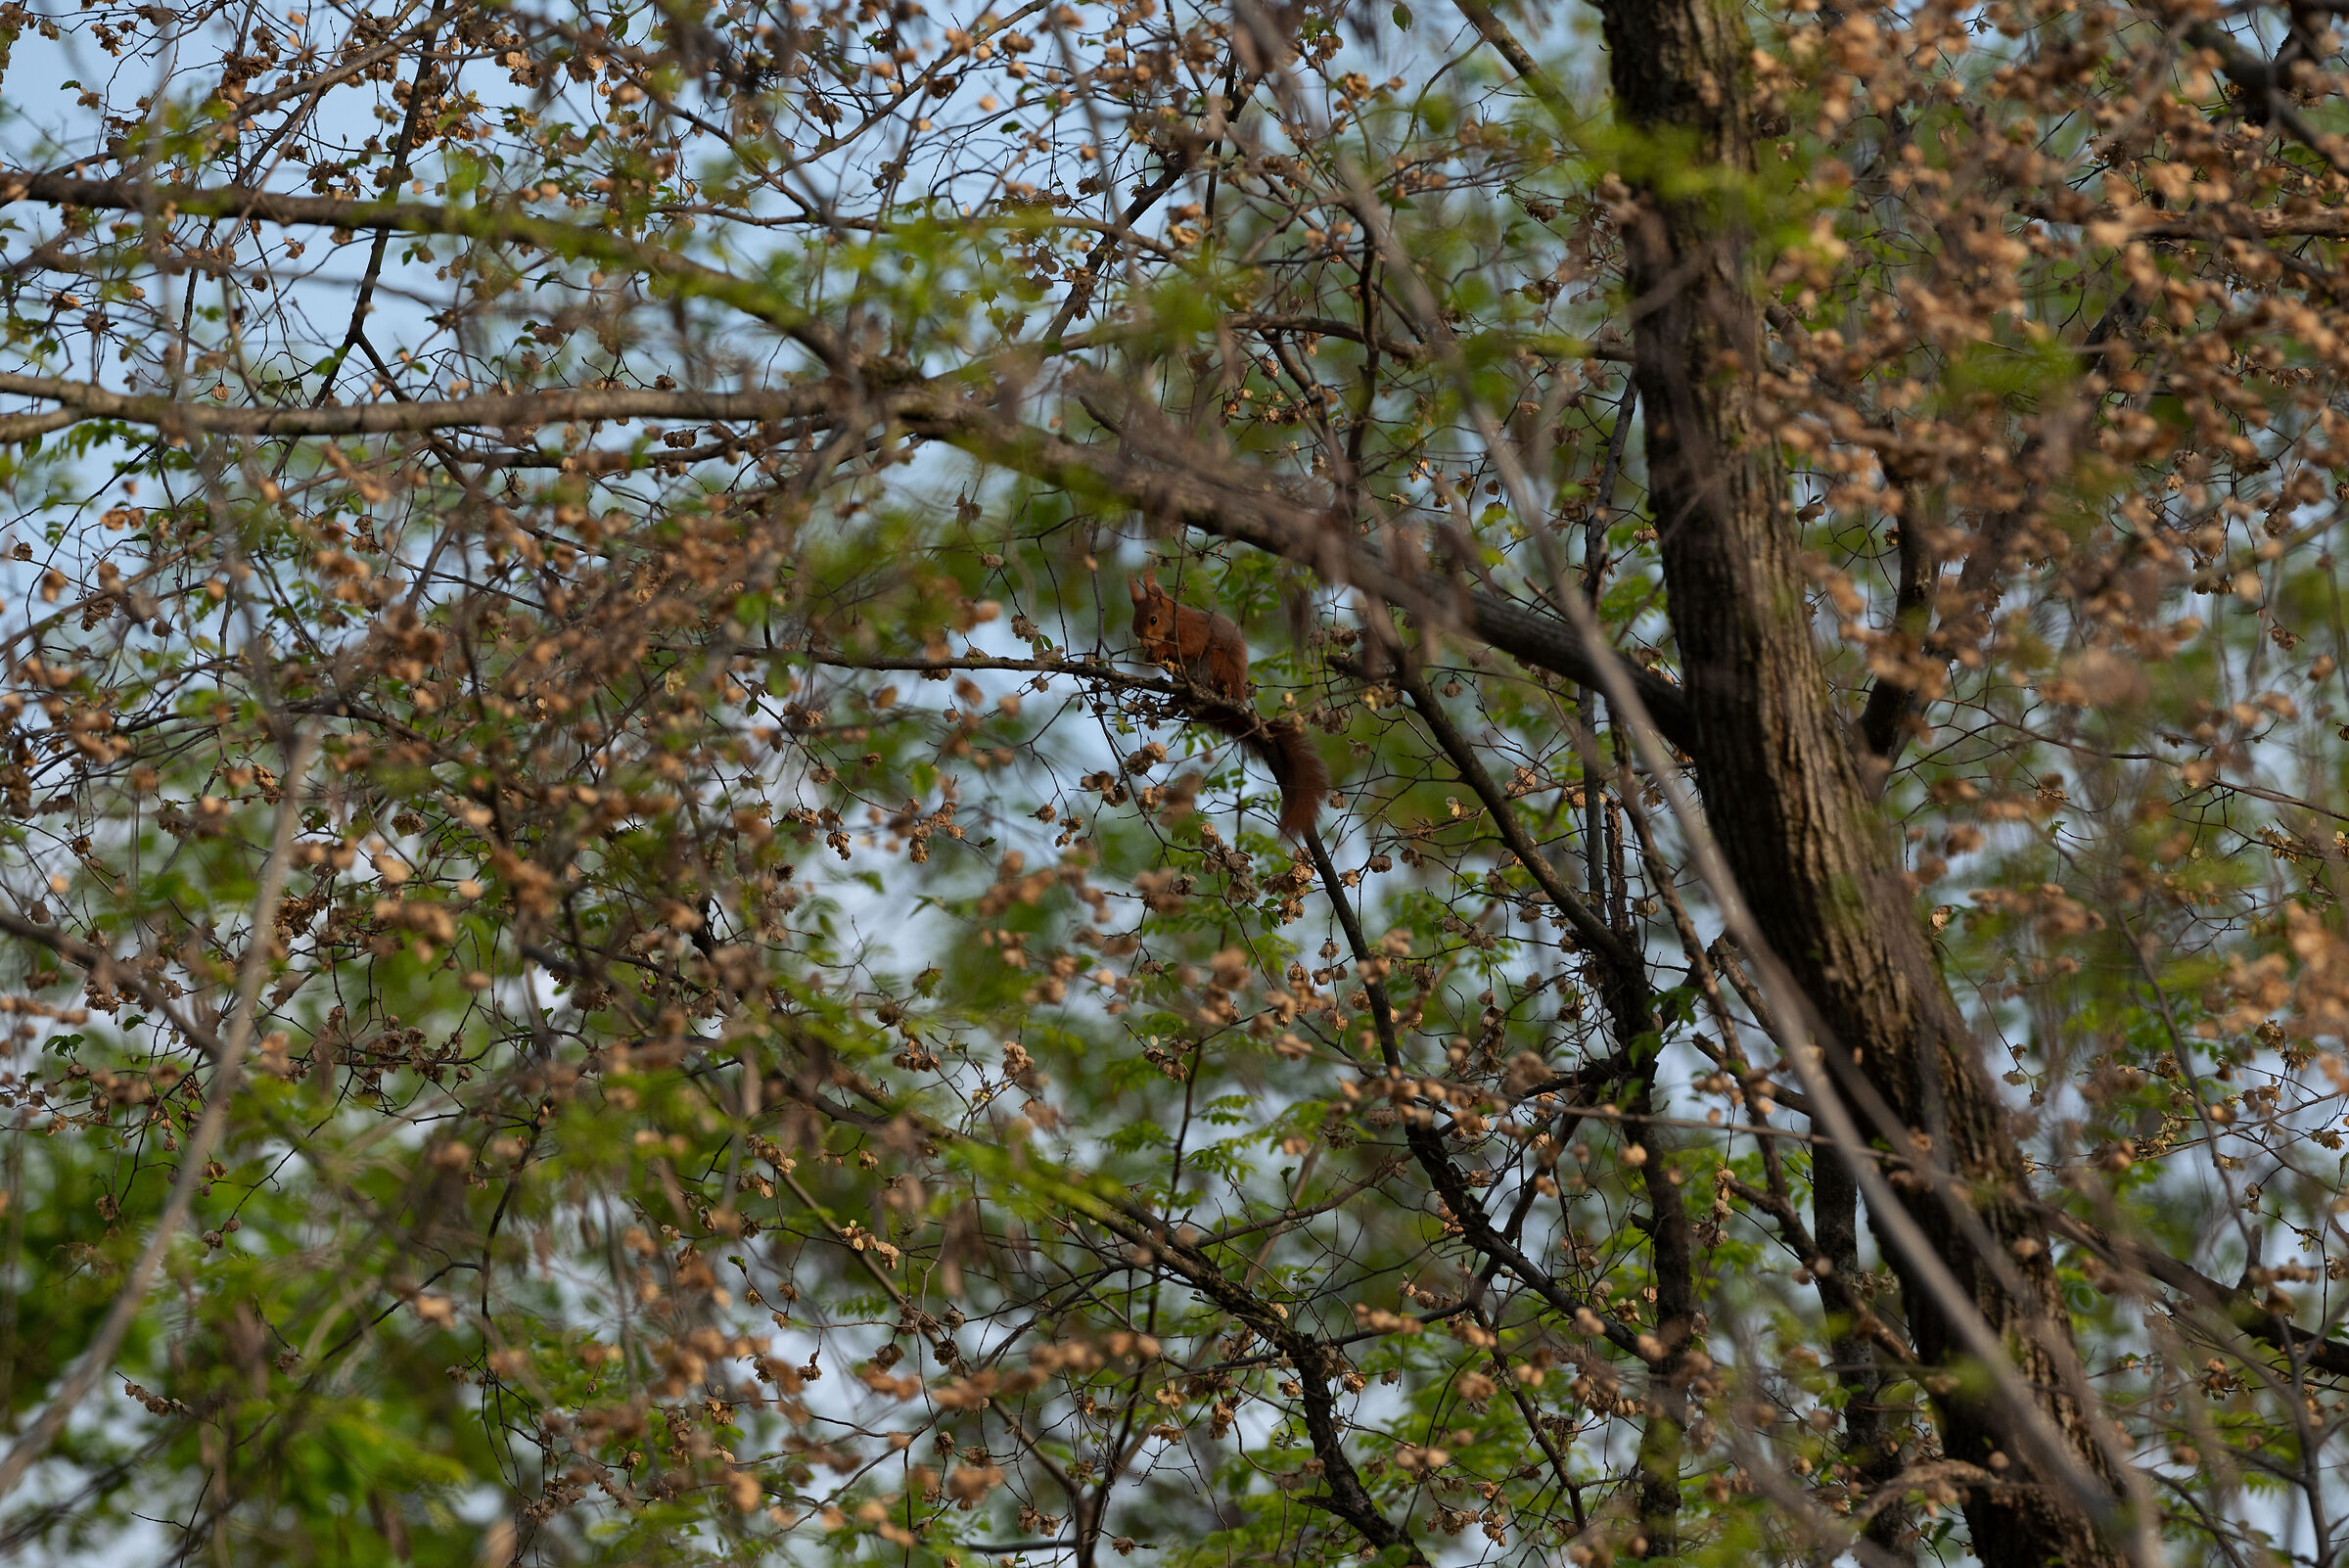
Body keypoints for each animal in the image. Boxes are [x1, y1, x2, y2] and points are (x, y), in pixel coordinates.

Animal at [1128, 568, 1329, 838]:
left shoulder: (1192, 630)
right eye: (1135, 620)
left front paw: (1160, 651)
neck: (1174, 621)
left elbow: (1192, 645)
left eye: (1153, 619)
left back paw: (1217, 690)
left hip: (1217, 662)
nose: (1142, 641)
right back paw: (1177, 699)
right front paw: (1150, 656)